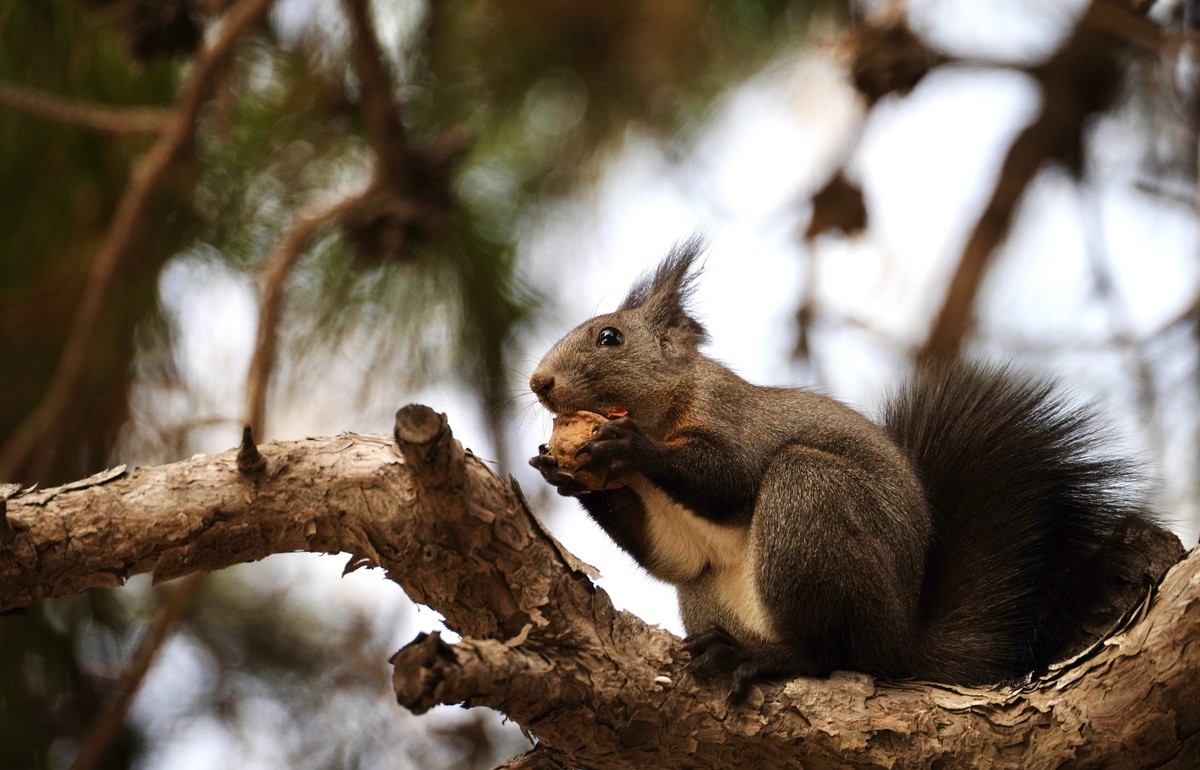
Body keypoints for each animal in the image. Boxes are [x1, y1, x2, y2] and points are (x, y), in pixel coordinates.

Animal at [530, 237, 1156, 700]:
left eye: (609, 337)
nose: (538, 383)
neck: (666, 408)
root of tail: (900, 642)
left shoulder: (731, 417)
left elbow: (728, 477)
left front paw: (626, 444)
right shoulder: (674, 535)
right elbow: (672, 554)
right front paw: (562, 474)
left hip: (814, 500)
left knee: (831, 653)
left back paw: (764, 657)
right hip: (709, 589)